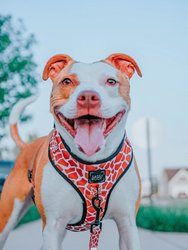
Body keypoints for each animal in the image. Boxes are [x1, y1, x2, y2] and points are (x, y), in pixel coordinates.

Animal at [0, 53, 142, 250]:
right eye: (67, 81)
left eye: (111, 81)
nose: (88, 96)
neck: (94, 165)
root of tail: (27, 146)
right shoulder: (52, 227)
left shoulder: (127, 224)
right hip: (8, 215)